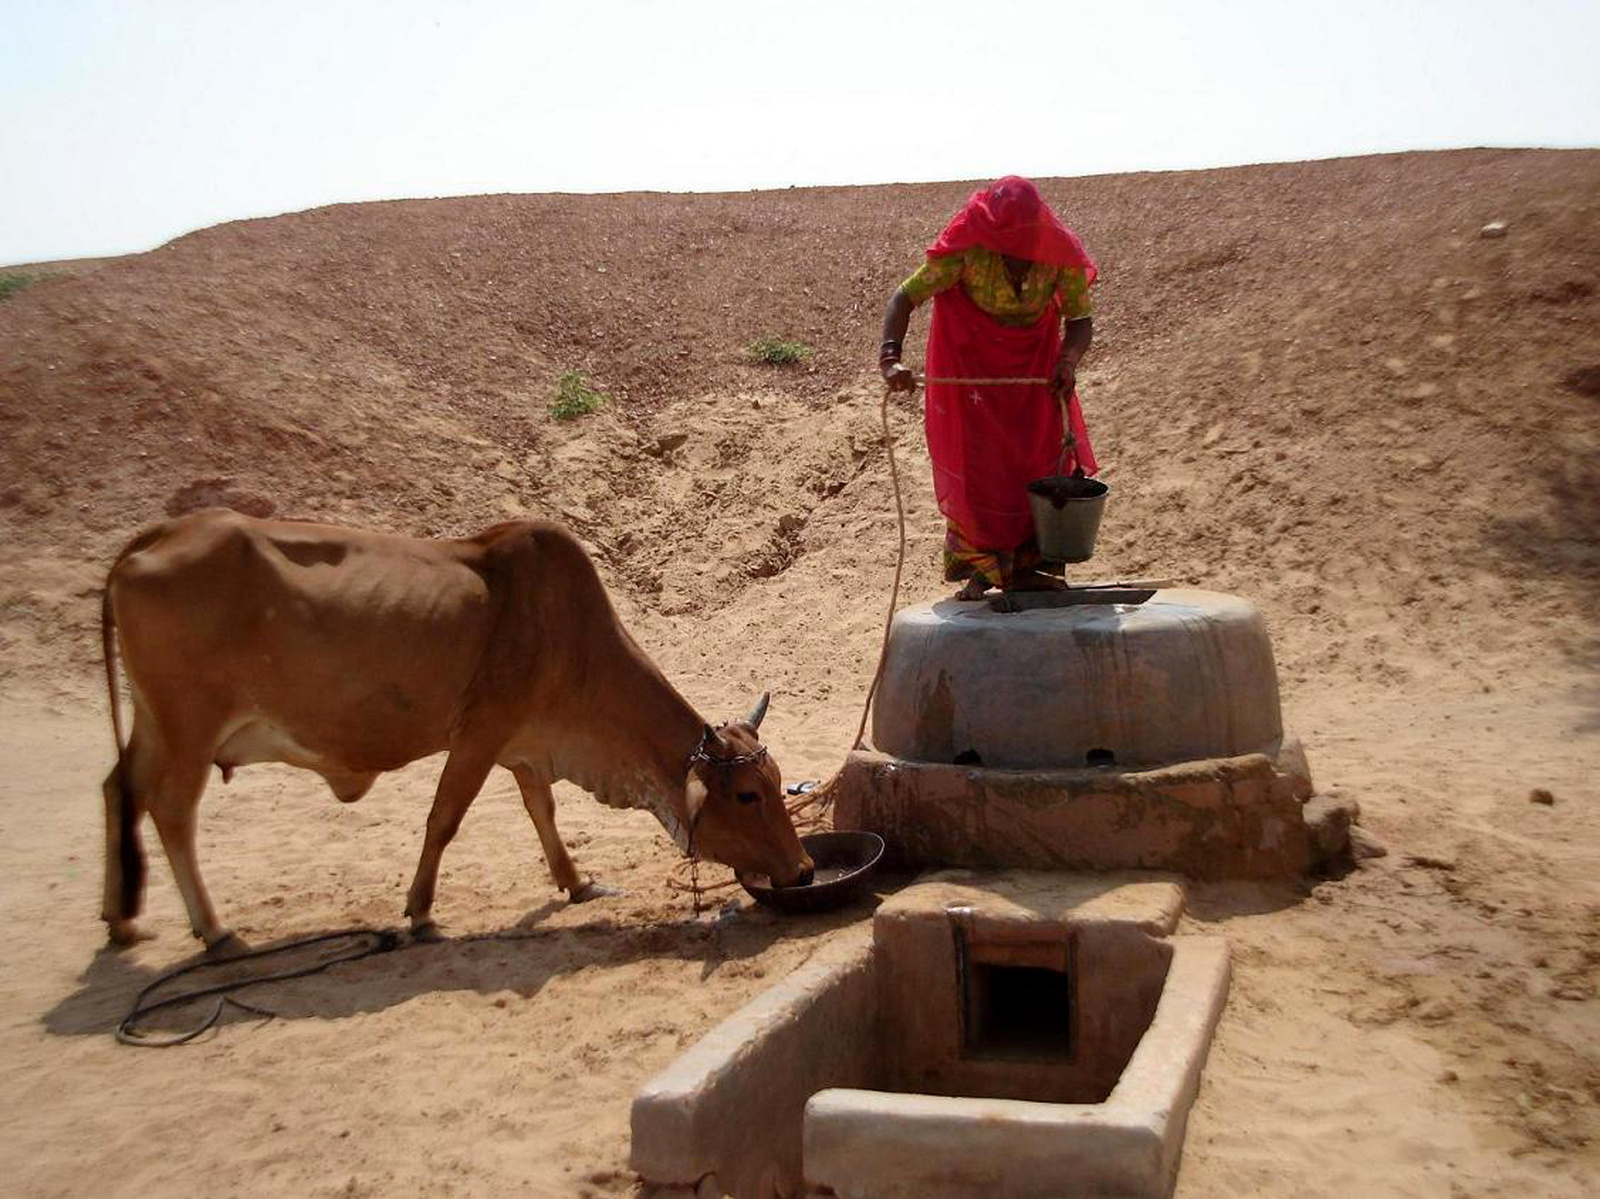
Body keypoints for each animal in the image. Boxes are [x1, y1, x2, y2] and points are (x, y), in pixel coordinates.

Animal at [100, 509, 812, 947]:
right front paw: (420, 913)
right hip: (189, 726)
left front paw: (578, 882)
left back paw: (121, 922)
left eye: (779, 783)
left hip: (154, 724)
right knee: (170, 810)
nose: (804, 870)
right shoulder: (479, 735)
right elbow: (444, 819)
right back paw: (215, 930)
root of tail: (157, 535)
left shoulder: (526, 747)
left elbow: (542, 810)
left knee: (117, 789)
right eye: (747, 795)